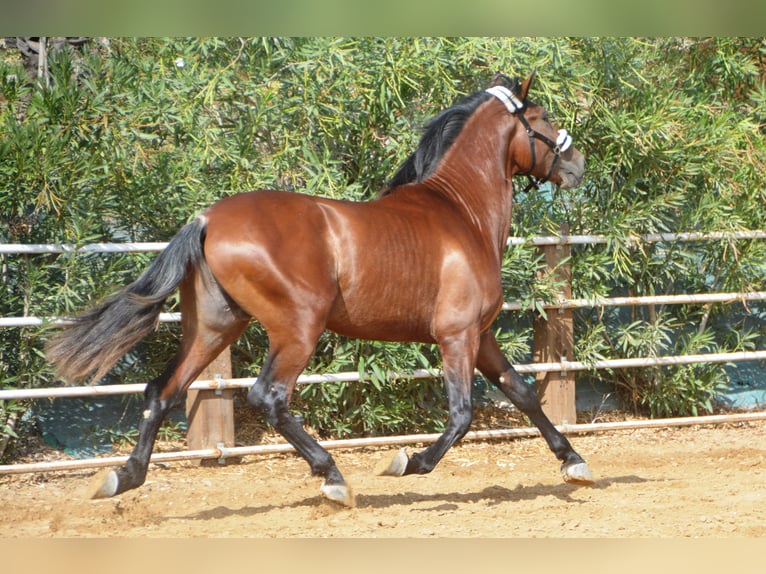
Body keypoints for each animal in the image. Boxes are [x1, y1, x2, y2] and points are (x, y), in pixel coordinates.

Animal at [48, 72, 592, 508]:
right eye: (543, 119)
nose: (577, 164)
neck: (461, 213)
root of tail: (207, 219)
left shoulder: (481, 334)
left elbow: (522, 392)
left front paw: (574, 462)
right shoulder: (456, 335)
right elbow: (461, 415)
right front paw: (406, 462)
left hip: (214, 327)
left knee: (161, 391)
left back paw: (122, 478)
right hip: (298, 328)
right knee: (268, 397)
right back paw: (333, 477)